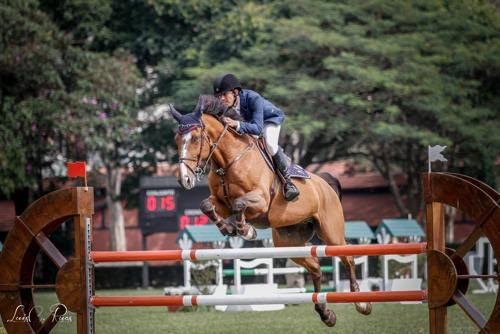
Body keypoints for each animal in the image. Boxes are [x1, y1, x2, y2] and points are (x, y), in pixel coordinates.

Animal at [169, 94, 372, 326]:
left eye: (195, 139)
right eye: (177, 140)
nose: (184, 179)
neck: (229, 159)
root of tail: (325, 184)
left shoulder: (261, 201)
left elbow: (240, 204)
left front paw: (246, 230)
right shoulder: (221, 203)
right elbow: (207, 206)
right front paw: (227, 228)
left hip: (332, 234)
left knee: (348, 258)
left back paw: (361, 303)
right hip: (289, 242)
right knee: (315, 265)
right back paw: (325, 313)